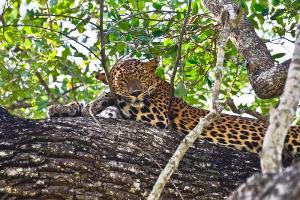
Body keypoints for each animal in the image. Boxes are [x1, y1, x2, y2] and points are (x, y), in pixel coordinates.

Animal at [48, 57, 300, 162]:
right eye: (122, 80)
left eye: (140, 76)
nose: (135, 92)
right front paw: (63, 108)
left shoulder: (157, 116)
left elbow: (115, 101)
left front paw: (103, 96)